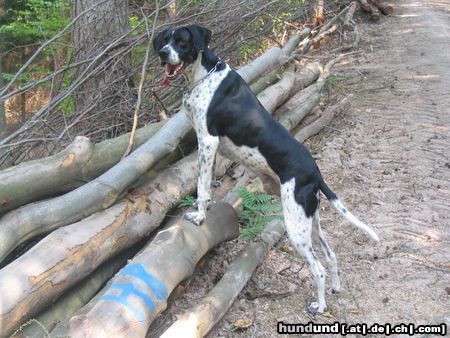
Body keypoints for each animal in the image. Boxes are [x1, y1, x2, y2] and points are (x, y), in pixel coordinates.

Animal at [153, 25, 378, 312]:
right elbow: (209, 182)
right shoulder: (211, 149)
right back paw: (335, 288)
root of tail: (315, 174)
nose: (162, 53)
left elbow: (202, 187)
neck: (204, 75)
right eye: (165, 39)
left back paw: (319, 306)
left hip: (295, 226)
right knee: (331, 254)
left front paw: (200, 216)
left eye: (181, 41)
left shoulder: (207, 141)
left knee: (318, 269)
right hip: (311, 222)